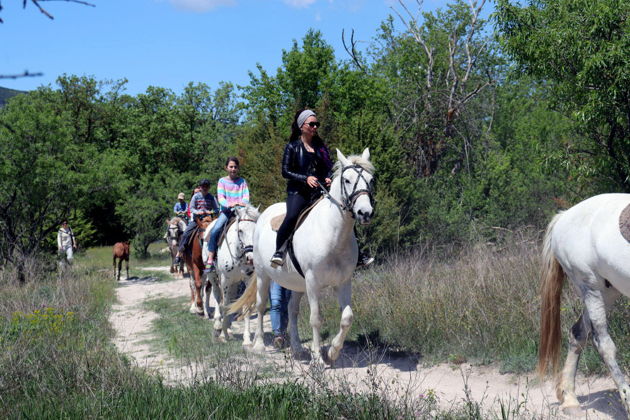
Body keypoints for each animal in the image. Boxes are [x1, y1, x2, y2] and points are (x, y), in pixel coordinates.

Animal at [204, 204, 260, 344]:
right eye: (240, 231)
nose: (251, 258)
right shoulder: (225, 280)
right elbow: (224, 303)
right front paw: (223, 331)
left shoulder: (247, 279)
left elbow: (244, 306)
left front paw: (247, 340)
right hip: (213, 276)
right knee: (217, 296)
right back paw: (218, 325)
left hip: (235, 282)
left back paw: (228, 328)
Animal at [232, 149, 376, 366]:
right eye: (347, 180)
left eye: (370, 179)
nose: (365, 212)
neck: (333, 234)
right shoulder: (313, 282)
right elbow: (316, 319)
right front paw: (318, 359)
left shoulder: (343, 282)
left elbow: (347, 317)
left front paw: (333, 352)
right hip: (263, 275)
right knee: (260, 305)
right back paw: (258, 345)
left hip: (296, 284)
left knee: (292, 310)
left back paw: (298, 349)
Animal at [540, 193, 630, 414]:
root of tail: (563, 217)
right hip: (590, 287)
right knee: (603, 343)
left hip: (606, 291)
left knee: (578, 333)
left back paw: (570, 400)